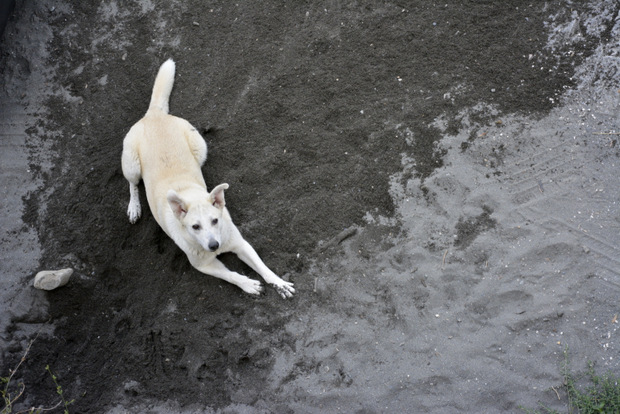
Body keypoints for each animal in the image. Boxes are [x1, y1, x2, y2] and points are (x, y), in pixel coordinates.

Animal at [123, 59, 296, 298]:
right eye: (195, 226)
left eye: (215, 220)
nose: (215, 246)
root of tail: (154, 114)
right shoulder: (203, 264)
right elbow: (231, 275)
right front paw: (248, 284)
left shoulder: (241, 244)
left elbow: (263, 267)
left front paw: (279, 283)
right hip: (131, 163)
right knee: (132, 184)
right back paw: (134, 207)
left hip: (200, 147)